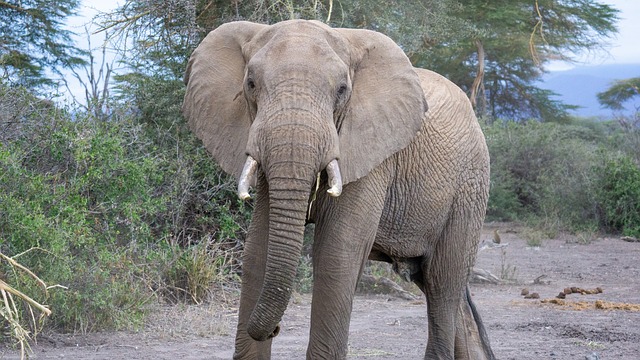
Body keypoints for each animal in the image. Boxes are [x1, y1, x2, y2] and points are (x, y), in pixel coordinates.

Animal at [182, 19, 492, 360]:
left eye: (342, 90)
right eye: (250, 84)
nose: (275, 328)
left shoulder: (373, 154)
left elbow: (336, 253)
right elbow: (258, 250)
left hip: (470, 187)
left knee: (442, 285)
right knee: (447, 293)